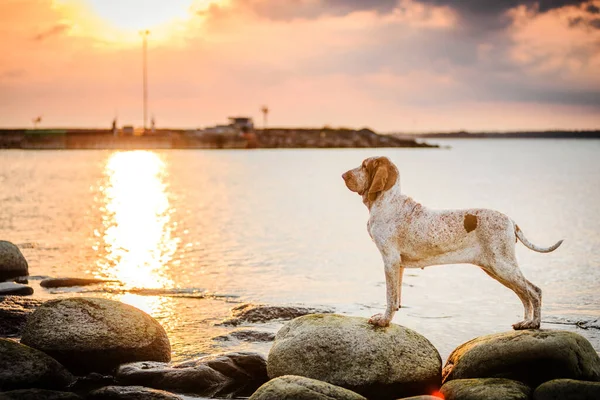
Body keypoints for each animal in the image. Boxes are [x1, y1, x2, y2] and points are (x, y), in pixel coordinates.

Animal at [342, 158, 564, 330]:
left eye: (364, 165)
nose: (344, 175)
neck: (387, 202)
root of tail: (511, 221)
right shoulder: (399, 265)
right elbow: (396, 299)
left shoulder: (390, 260)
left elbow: (390, 297)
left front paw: (383, 321)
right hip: (495, 268)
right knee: (524, 294)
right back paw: (525, 323)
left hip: (502, 265)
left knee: (534, 291)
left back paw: (533, 324)